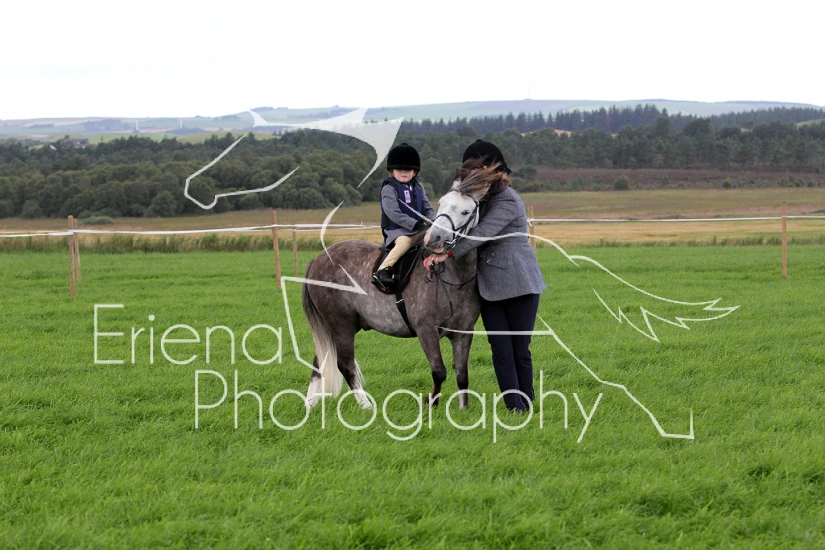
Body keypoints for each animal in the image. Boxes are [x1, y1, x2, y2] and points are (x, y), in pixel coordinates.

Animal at [301, 166, 497, 409]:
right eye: (442, 203)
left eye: (465, 211)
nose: (434, 238)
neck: (452, 276)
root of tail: (318, 259)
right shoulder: (426, 330)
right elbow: (439, 371)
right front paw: (430, 403)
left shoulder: (463, 332)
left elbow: (462, 374)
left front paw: (463, 409)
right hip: (340, 324)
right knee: (344, 364)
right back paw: (366, 406)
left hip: (340, 326)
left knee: (321, 360)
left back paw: (310, 404)